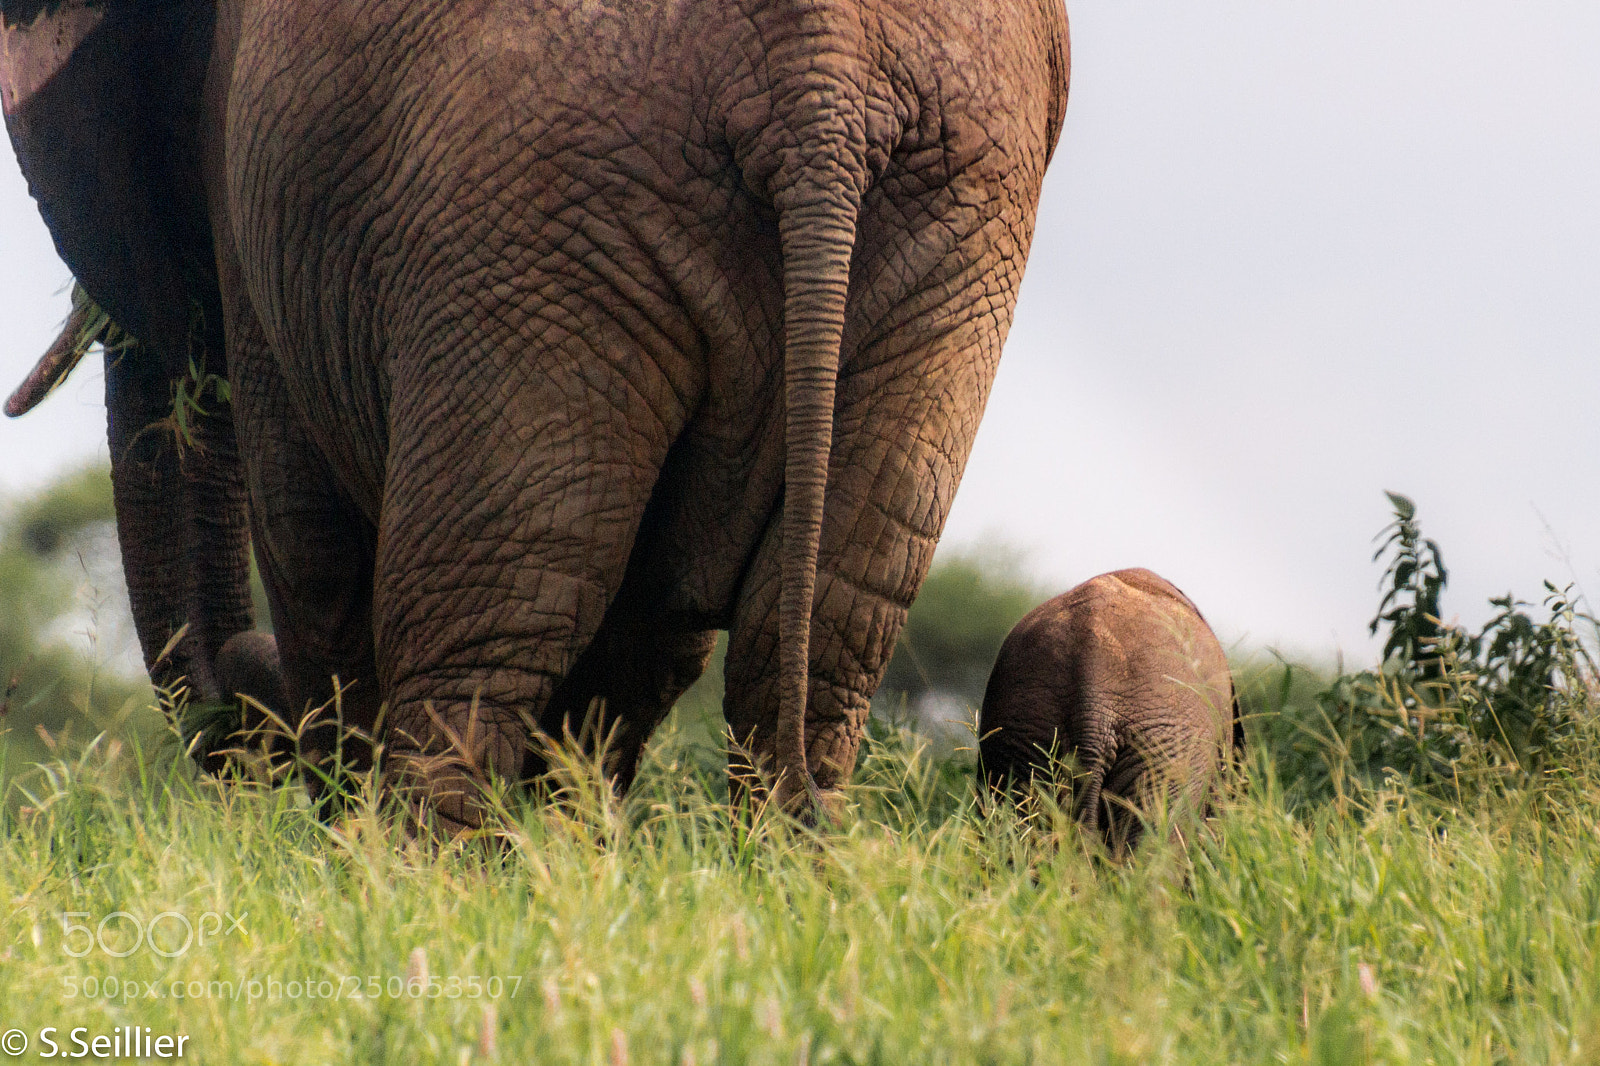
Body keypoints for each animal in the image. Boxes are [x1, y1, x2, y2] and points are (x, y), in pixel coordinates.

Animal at [1, 0, 1069, 829]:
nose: (242, 703)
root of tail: (823, 87)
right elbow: (649, 625)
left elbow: (310, 545)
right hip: (952, 231)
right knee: (822, 632)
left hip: (525, 215)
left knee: (486, 619)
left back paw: (417, 900)